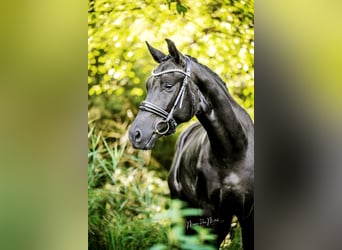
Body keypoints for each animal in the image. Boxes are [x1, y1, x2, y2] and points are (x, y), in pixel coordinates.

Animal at [129, 39, 254, 250]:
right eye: (147, 85)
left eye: (168, 85)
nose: (135, 134)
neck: (233, 152)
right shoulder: (211, 217)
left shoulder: (247, 217)